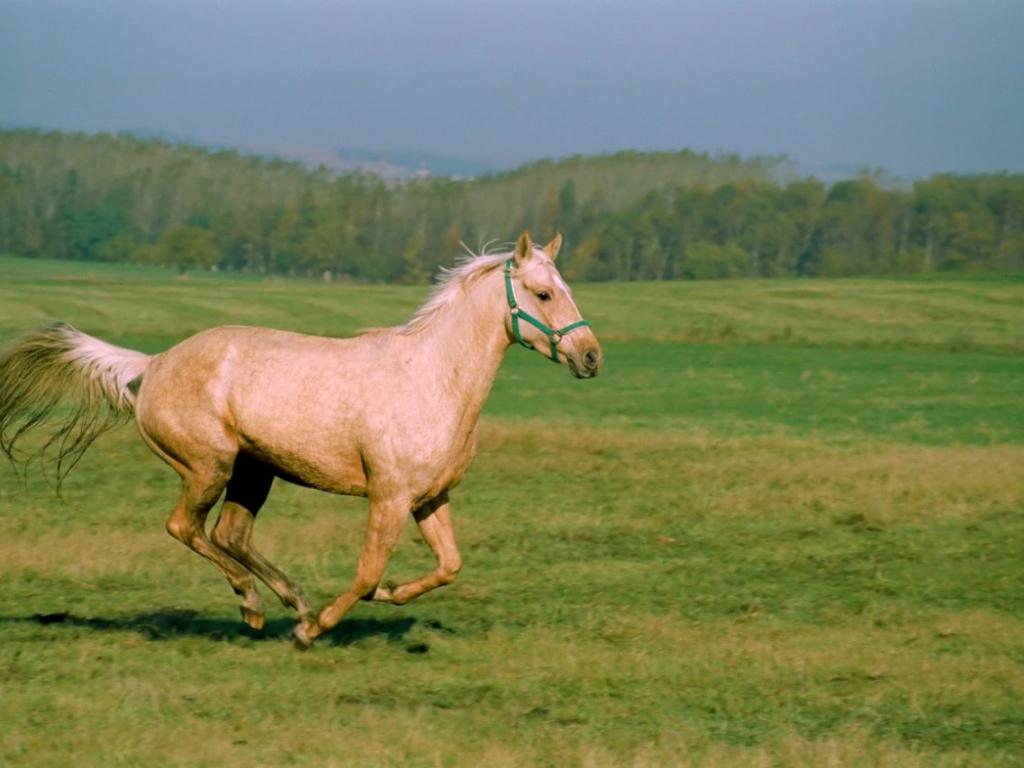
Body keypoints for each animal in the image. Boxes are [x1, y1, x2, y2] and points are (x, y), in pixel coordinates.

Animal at [0, 233, 598, 651]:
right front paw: (318, 630)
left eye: (568, 290)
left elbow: (449, 566)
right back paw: (258, 607)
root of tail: (155, 363)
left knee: (231, 534)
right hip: (209, 466)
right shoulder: (389, 498)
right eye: (543, 293)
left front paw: (387, 596)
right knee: (185, 527)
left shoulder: (430, 498)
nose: (591, 356)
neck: (433, 378)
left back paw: (294, 604)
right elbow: (367, 572)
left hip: (254, 470)